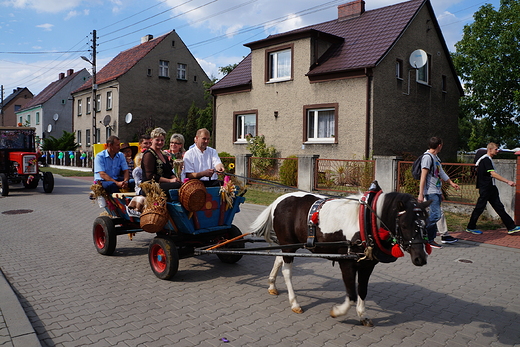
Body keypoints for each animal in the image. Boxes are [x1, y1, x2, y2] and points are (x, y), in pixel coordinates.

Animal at [248, 186, 430, 328]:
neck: (366, 220)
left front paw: (363, 315)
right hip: (289, 244)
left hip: (290, 245)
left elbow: (362, 290)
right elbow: (351, 295)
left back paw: (272, 285)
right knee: (287, 271)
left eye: (425, 225)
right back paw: (294, 302)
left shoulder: (367, 264)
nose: (420, 258)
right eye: (404, 225)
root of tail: (279, 200)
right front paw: (337, 311)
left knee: (279, 259)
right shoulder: (346, 262)